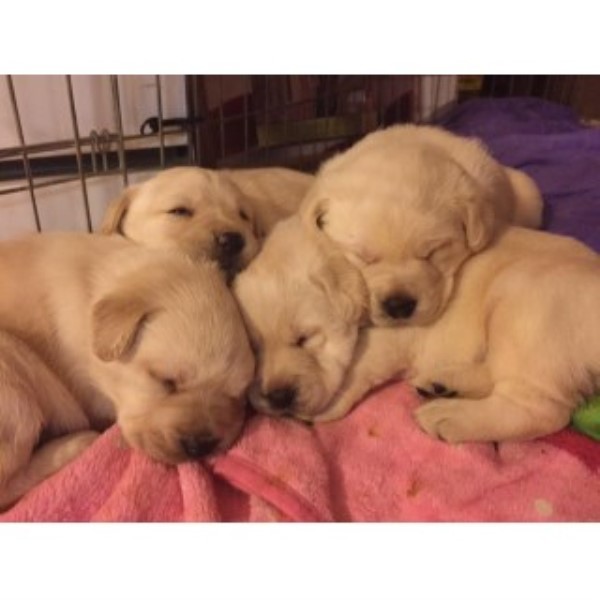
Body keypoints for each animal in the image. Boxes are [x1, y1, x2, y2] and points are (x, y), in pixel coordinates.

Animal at [310, 227, 600, 442]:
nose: (398, 306)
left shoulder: (394, 334)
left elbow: (359, 361)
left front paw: (325, 402)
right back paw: (444, 384)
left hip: (524, 307)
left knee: (537, 409)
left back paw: (450, 415)